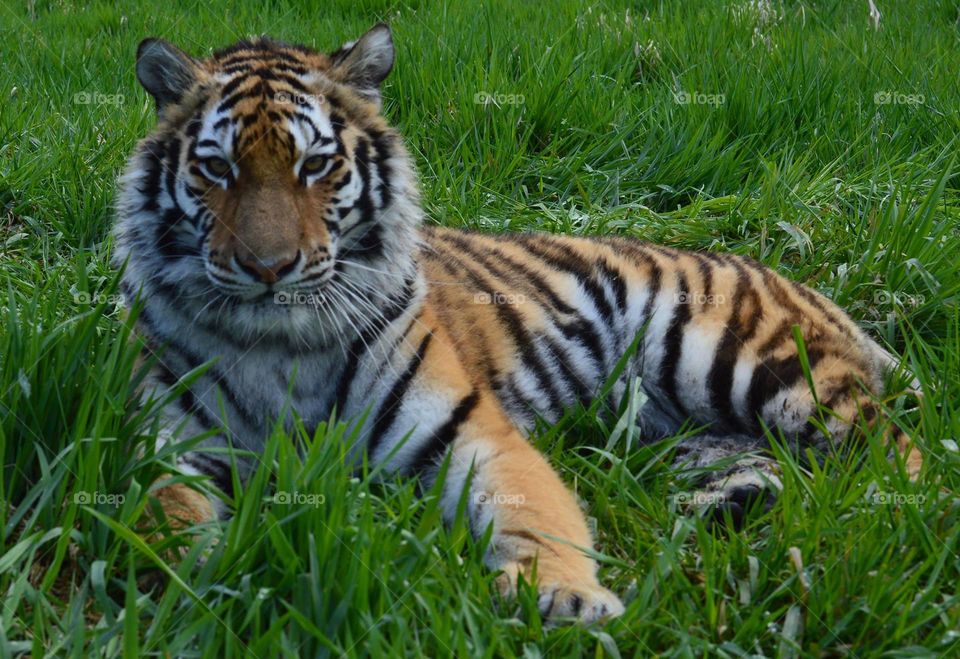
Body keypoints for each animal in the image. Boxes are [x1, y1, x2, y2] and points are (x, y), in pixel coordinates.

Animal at [113, 23, 922, 623]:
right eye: (217, 169)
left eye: (315, 166)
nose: (268, 266)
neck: (281, 345)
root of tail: (797, 281)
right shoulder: (168, 445)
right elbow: (161, 517)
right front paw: (188, 580)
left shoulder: (469, 429)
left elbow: (535, 510)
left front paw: (563, 595)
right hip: (700, 429)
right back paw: (726, 504)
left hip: (747, 363)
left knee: (895, 452)